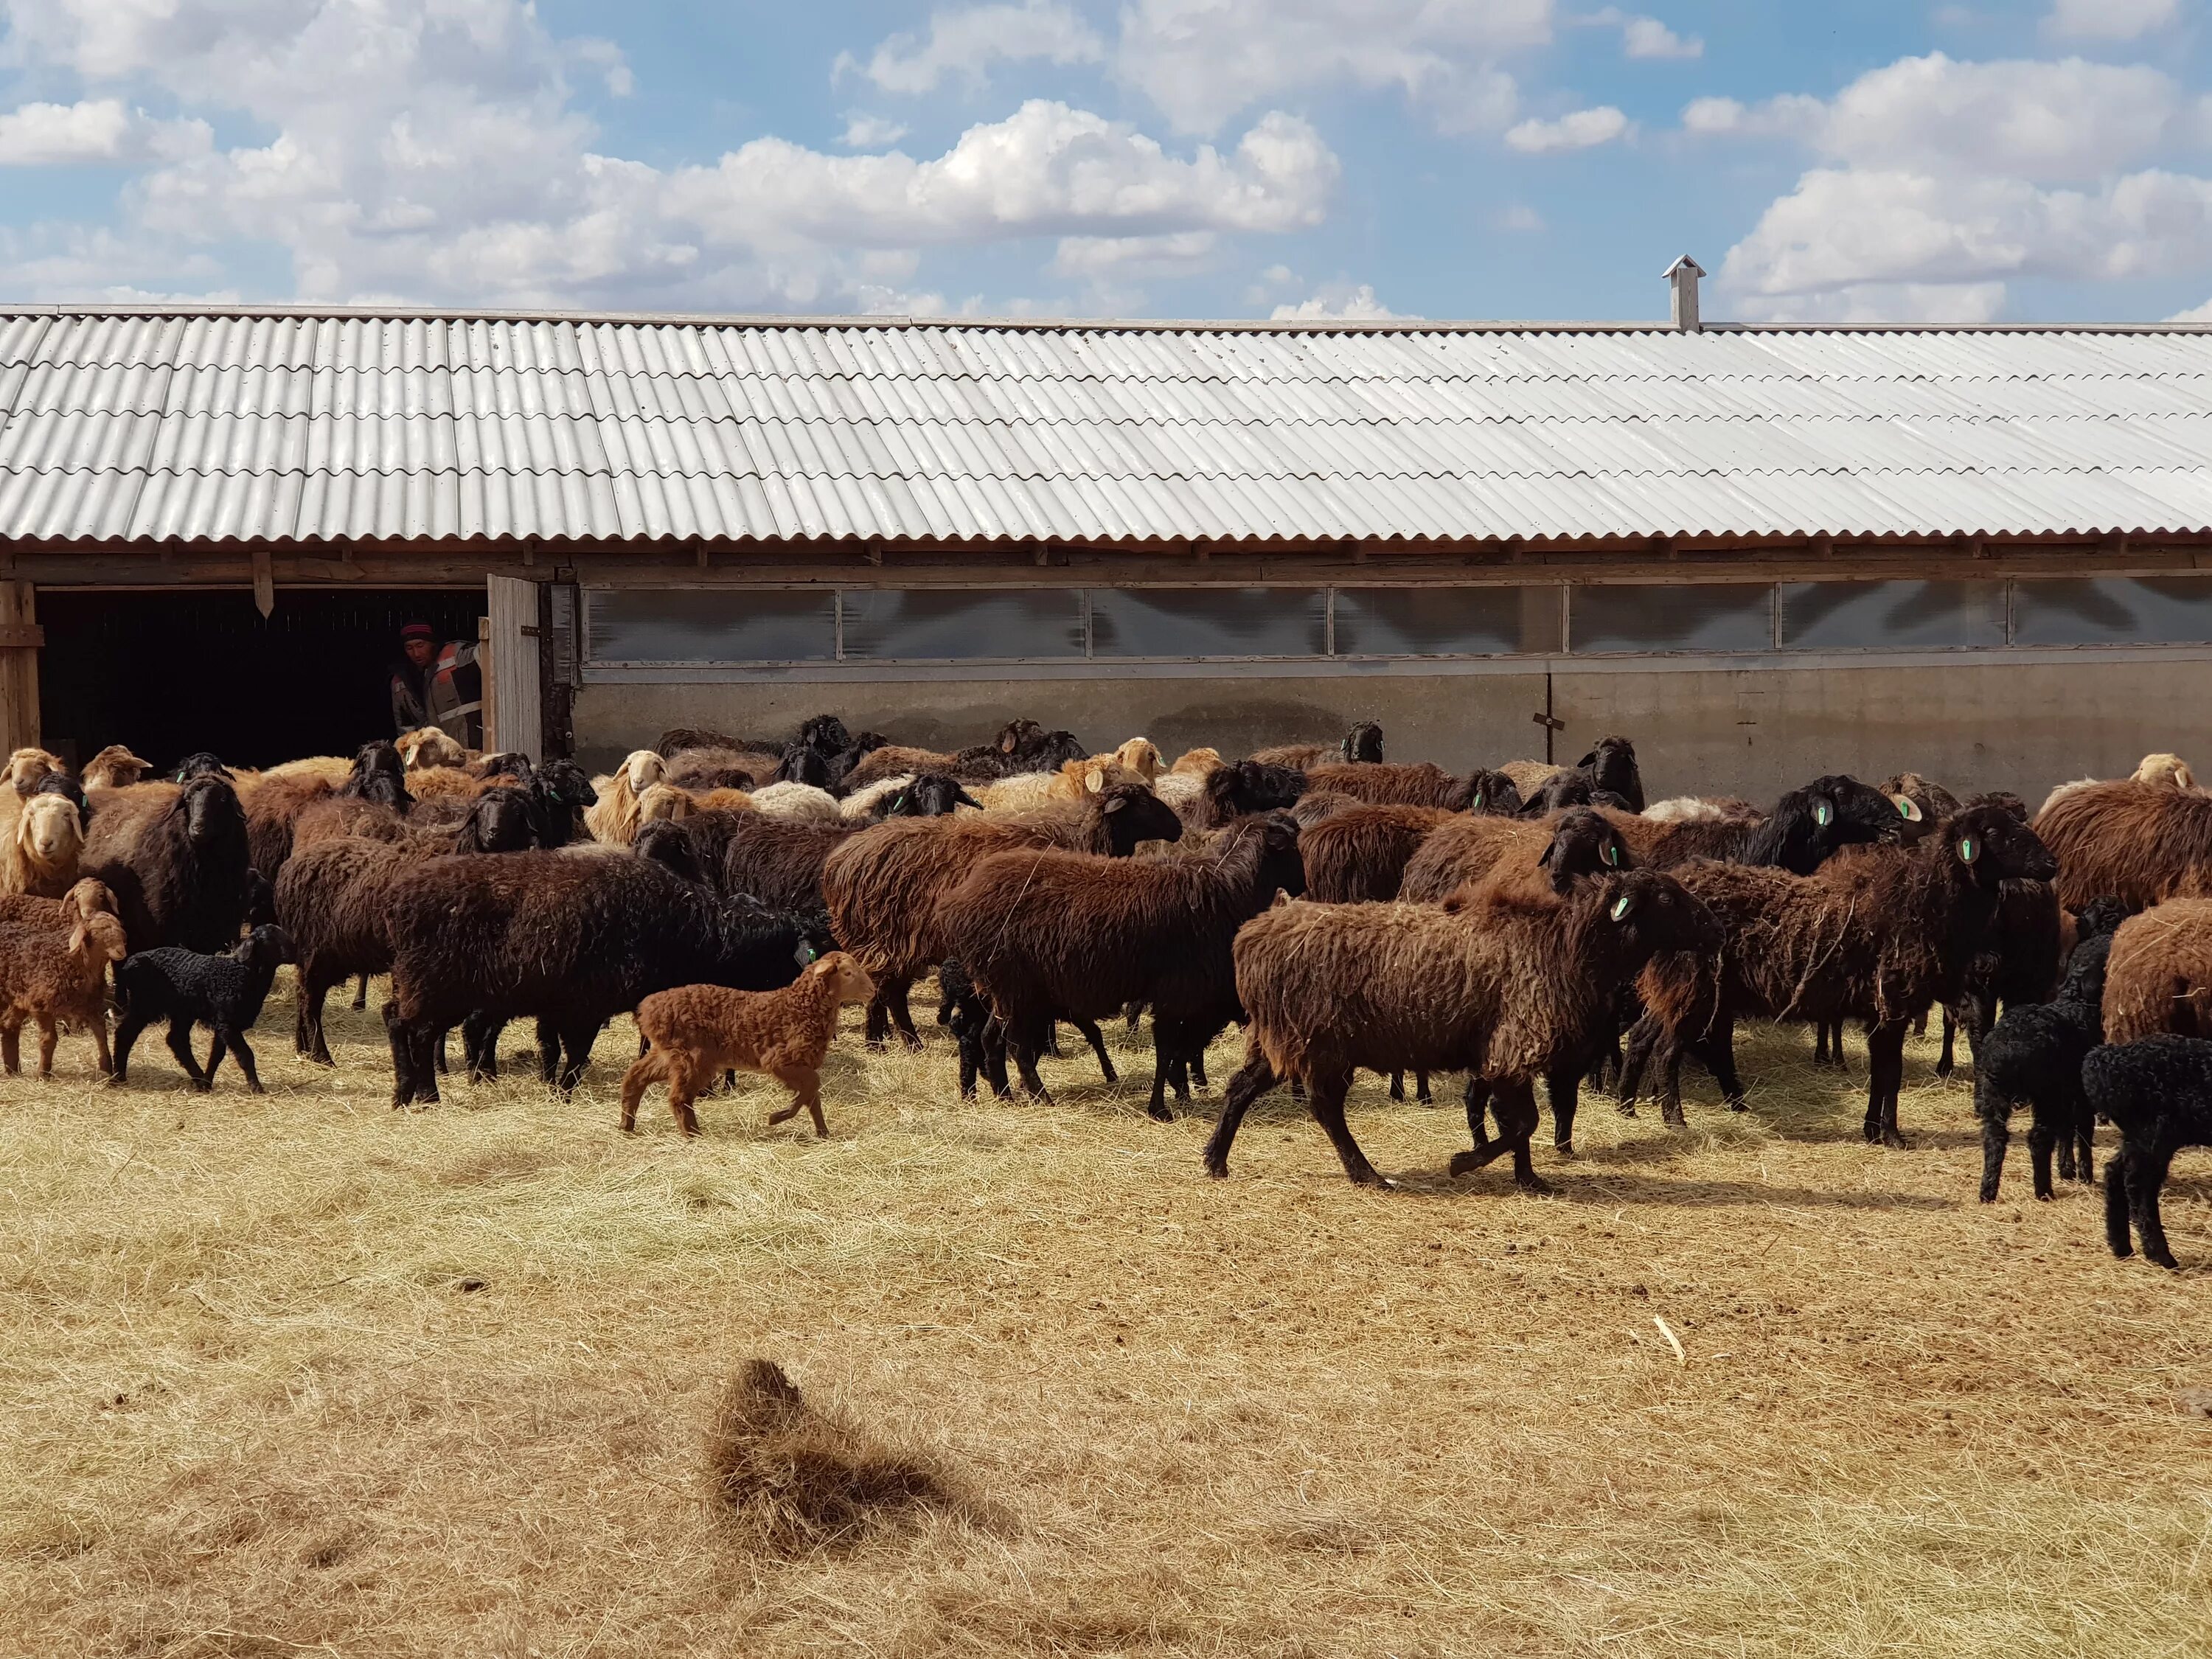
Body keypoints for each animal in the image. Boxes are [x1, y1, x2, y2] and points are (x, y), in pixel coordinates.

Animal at [114, 929, 296, 1097]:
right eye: (269, 939)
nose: (295, 953)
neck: (241, 975)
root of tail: (130, 963)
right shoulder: (228, 1023)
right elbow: (245, 1055)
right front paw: (256, 1087)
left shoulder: (222, 1023)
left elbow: (216, 1056)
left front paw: (207, 1083)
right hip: (145, 1004)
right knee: (125, 1034)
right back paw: (119, 1076)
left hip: (182, 1011)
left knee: (177, 1040)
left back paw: (198, 1078)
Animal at [628, 956, 876, 1141]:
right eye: (847, 973)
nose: (873, 991)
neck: (800, 1007)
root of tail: (647, 1009)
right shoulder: (780, 1061)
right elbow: (811, 1088)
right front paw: (777, 1118)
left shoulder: (802, 1063)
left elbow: (813, 1097)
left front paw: (823, 1133)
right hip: (692, 1056)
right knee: (679, 1097)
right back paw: (693, 1136)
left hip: (672, 1053)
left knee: (637, 1074)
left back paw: (626, 1123)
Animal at [1982, 902, 2132, 1203]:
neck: (2078, 1001)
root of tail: (2006, 1052)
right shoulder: (2080, 1091)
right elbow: (2082, 1128)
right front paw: (2083, 1173)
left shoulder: (2068, 1091)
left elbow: (2067, 1128)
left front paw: (2067, 1169)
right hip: (2044, 1093)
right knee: (2039, 1138)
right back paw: (2044, 1190)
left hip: (1994, 1093)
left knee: (1995, 1136)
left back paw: (1988, 1191)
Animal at [2079, 1040, 2212, 1274]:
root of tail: (2102, 1058)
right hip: (2153, 1134)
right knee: (2139, 1187)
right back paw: (2162, 1256)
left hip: (2136, 1136)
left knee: (2115, 1172)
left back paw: (2121, 1247)